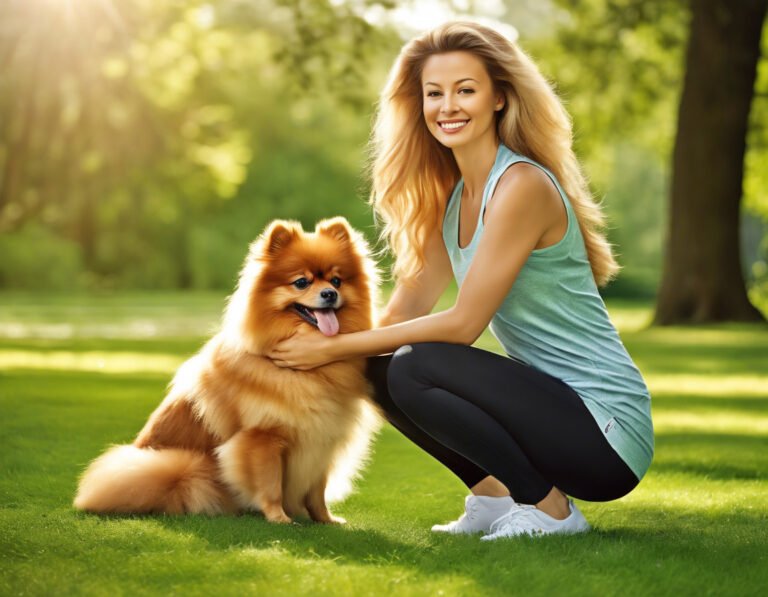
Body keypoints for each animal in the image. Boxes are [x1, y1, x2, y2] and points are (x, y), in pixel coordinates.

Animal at [73, 218, 380, 520]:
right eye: (301, 282)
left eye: (337, 280)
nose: (329, 293)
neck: (309, 372)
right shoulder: (263, 438)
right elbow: (270, 484)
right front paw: (280, 518)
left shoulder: (322, 439)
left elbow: (317, 491)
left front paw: (325, 520)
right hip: (181, 465)